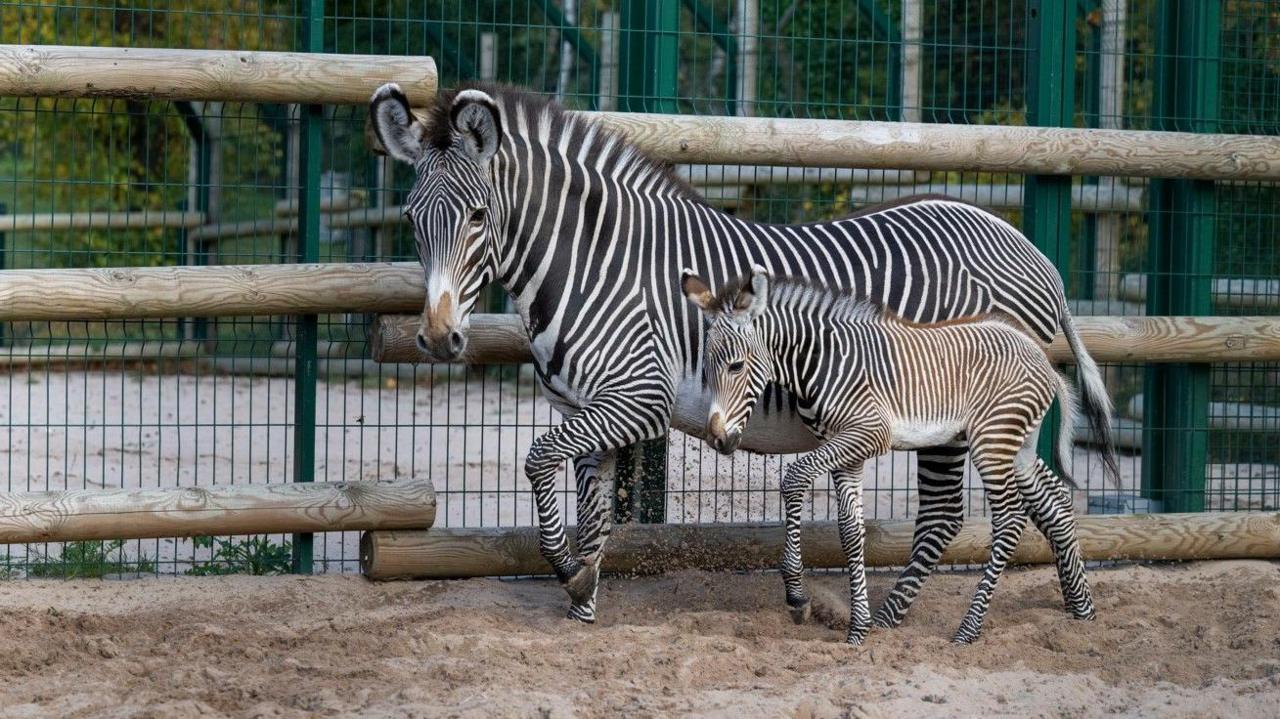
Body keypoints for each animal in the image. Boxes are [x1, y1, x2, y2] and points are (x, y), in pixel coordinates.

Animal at [686, 264, 1105, 644]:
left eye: (736, 365)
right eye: (705, 367)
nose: (718, 439)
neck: (821, 359)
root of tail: (1041, 356)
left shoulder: (868, 433)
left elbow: (794, 479)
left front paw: (797, 596)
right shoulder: (847, 449)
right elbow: (851, 531)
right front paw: (858, 629)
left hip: (992, 440)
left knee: (1009, 519)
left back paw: (968, 631)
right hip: (1018, 444)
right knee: (1054, 498)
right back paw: (1082, 611)